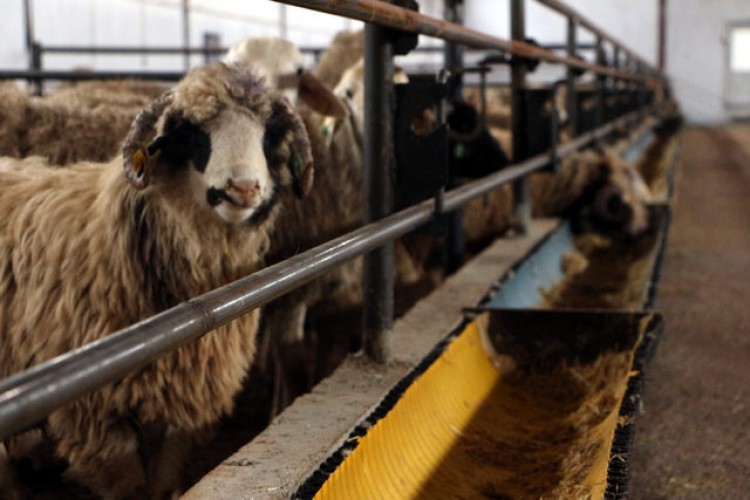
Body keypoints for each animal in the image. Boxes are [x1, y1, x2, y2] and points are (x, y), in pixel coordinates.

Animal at [0, 59, 314, 500]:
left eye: (268, 135)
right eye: (193, 134)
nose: (244, 188)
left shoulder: (177, 409)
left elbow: (163, 484)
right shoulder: (96, 418)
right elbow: (132, 489)